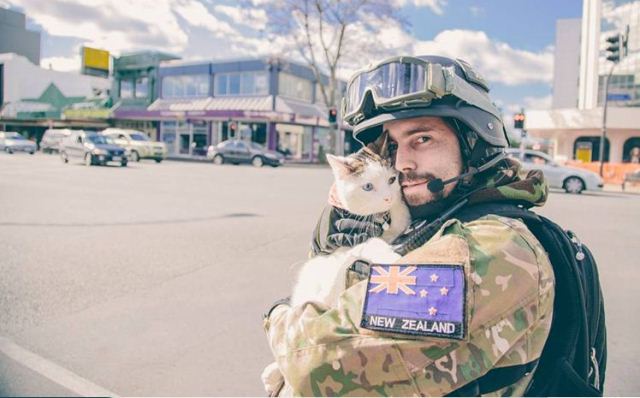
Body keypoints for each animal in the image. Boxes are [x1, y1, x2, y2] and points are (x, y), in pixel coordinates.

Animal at [260, 148, 410, 394]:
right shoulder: (347, 247)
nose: (388, 197)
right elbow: (373, 242)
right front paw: (390, 255)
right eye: (367, 186)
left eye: (391, 180)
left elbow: (399, 218)